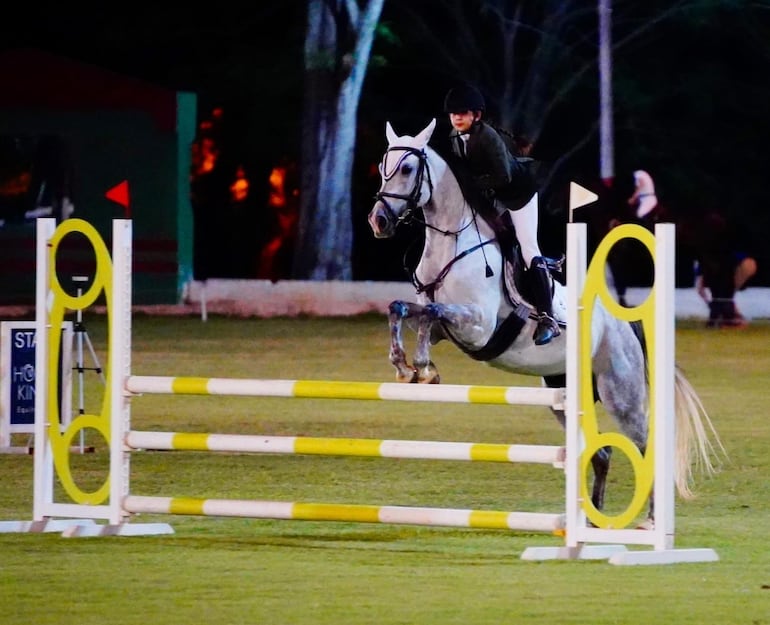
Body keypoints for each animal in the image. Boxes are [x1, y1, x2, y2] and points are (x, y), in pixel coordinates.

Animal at [366, 118, 720, 520]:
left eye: (408, 168)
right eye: (382, 167)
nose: (378, 220)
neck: (453, 243)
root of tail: (624, 325)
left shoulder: (477, 325)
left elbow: (433, 313)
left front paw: (423, 367)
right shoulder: (445, 326)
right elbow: (405, 309)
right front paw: (406, 367)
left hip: (620, 395)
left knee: (644, 449)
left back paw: (648, 522)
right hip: (563, 394)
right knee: (600, 453)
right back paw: (593, 521)